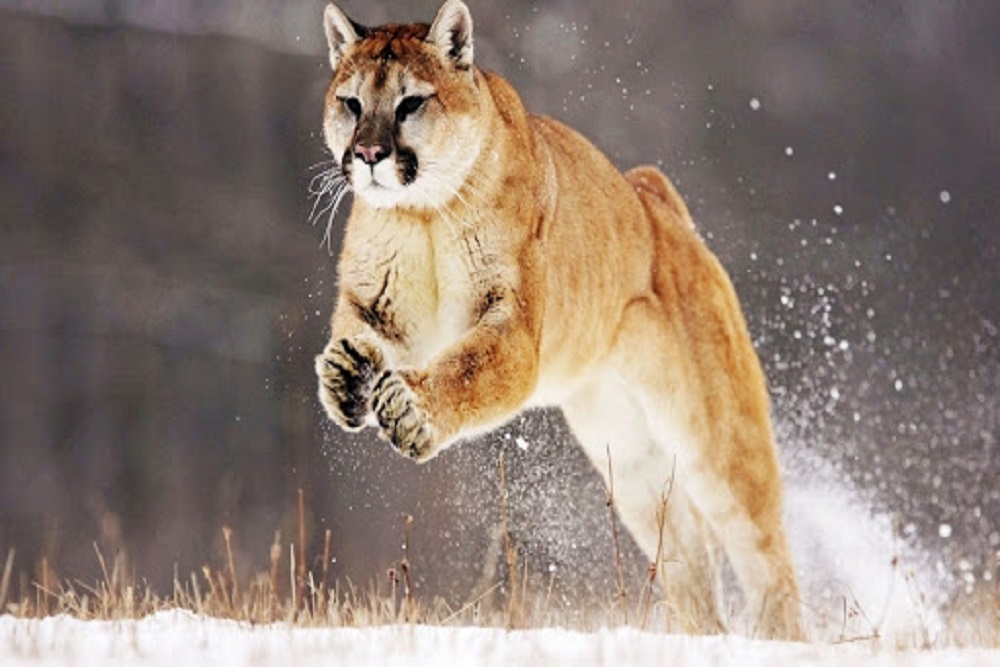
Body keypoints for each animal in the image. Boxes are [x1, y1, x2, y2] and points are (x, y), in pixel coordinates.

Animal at [313, 0, 803, 639]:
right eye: (351, 103)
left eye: (410, 103)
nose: (369, 155)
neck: (422, 215)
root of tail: (653, 197)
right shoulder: (381, 308)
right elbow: (357, 335)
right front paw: (346, 379)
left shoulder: (513, 331)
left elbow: (467, 369)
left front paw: (409, 411)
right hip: (629, 455)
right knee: (687, 551)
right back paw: (702, 636)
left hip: (717, 439)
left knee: (764, 552)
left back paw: (784, 640)